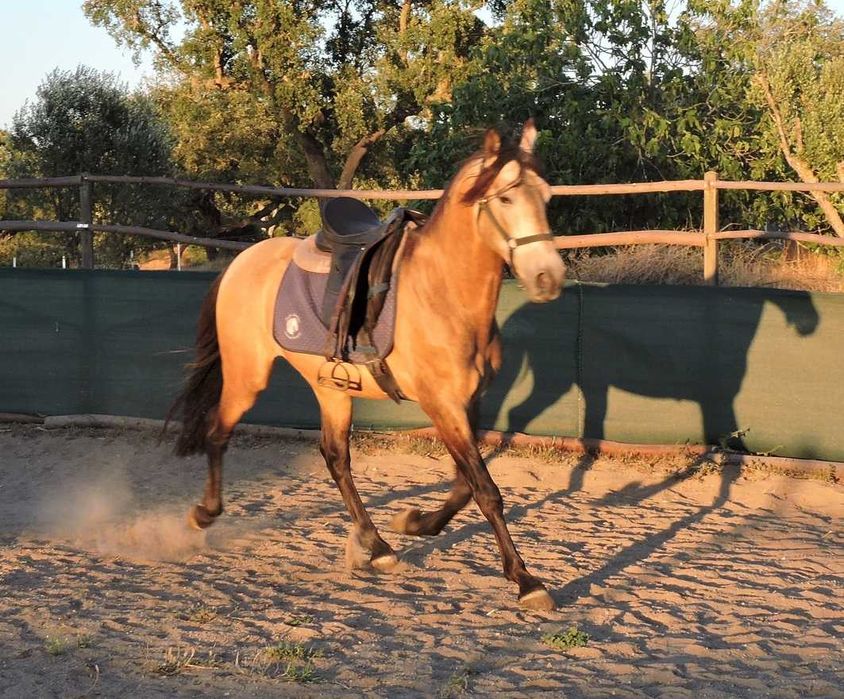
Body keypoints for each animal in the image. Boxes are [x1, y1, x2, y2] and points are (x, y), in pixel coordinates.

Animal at [168, 120, 567, 611]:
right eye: (507, 198)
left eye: (546, 196)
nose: (549, 277)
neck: (443, 293)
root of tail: (243, 260)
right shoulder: (442, 405)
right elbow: (486, 491)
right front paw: (526, 580)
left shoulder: (467, 403)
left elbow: (463, 485)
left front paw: (415, 522)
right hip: (248, 376)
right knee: (218, 432)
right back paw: (205, 514)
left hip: (330, 387)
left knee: (336, 457)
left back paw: (375, 545)